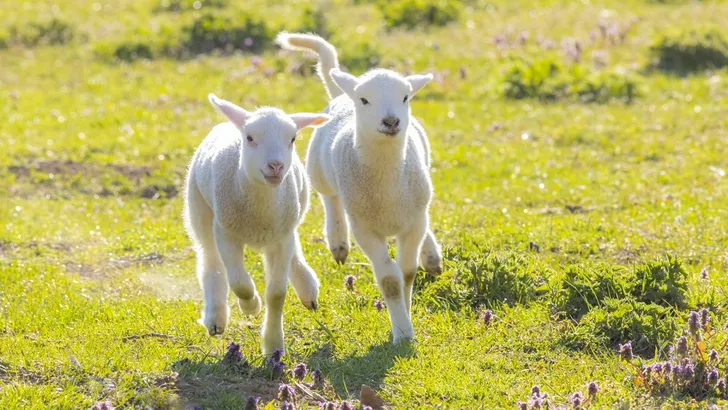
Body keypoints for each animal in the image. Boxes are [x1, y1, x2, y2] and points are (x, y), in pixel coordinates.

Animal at [182, 92, 330, 352]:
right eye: (250, 138)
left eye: (292, 139)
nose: (276, 166)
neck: (260, 210)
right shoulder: (226, 233)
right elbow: (239, 283)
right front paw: (251, 306)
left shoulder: (281, 237)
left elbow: (277, 293)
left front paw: (273, 344)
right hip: (200, 211)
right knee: (210, 261)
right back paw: (216, 317)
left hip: (292, 216)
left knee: (294, 249)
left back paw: (307, 288)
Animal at [276, 32, 440, 342]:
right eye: (365, 100)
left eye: (405, 97)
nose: (391, 121)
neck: (387, 183)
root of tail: (341, 95)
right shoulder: (365, 228)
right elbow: (390, 279)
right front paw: (402, 332)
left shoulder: (413, 220)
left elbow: (407, 272)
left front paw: (406, 314)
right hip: (319, 172)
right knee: (330, 198)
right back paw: (338, 241)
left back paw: (432, 255)